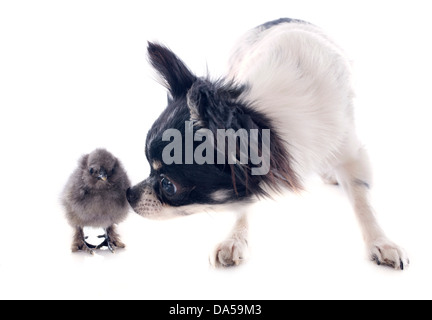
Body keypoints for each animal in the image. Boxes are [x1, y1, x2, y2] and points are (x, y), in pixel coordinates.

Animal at [125, 18, 408, 270]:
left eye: (168, 185)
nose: (129, 194)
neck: (265, 113)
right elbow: (244, 204)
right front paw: (235, 239)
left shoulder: (350, 151)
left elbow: (363, 201)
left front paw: (381, 241)